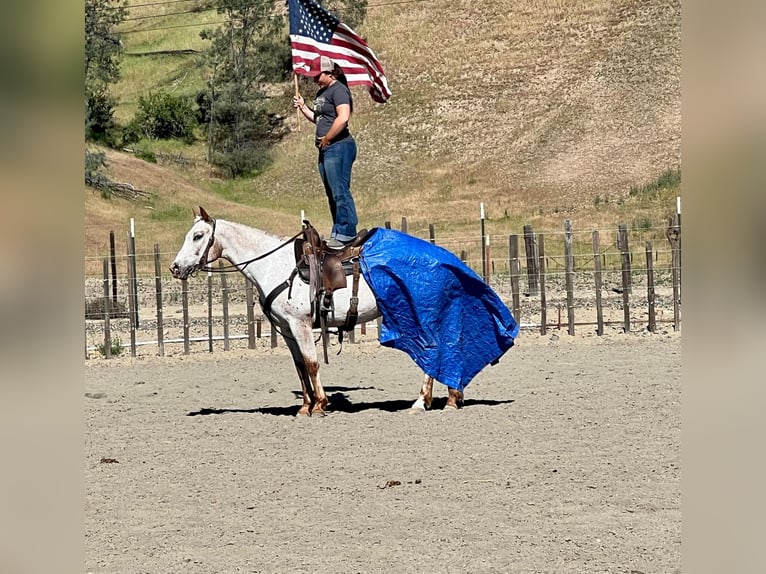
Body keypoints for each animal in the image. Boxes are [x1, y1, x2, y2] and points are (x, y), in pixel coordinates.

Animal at [168, 209, 460, 416]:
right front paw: (305, 406)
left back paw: (423, 401)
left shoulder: (301, 325)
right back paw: (450, 398)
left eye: (197, 236)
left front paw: (320, 404)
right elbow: (299, 366)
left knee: (435, 350)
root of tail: (445, 257)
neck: (274, 264)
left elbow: (311, 362)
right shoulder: (287, 329)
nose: (175, 267)